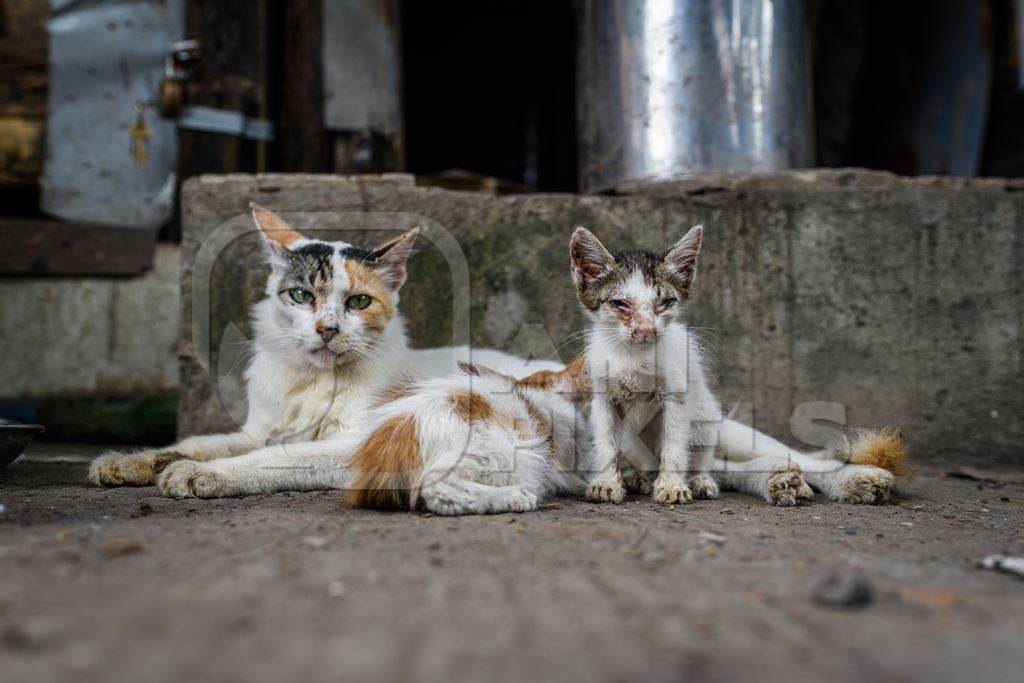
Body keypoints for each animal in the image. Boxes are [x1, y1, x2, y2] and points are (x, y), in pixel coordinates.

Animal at [573, 223, 724, 501]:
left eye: (666, 302)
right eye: (619, 303)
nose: (645, 330)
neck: (633, 355)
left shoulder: (676, 394)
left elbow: (674, 443)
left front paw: (672, 486)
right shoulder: (603, 397)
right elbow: (606, 441)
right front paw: (606, 483)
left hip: (705, 414)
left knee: (700, 450)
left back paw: (700, 480)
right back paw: (639, 477)